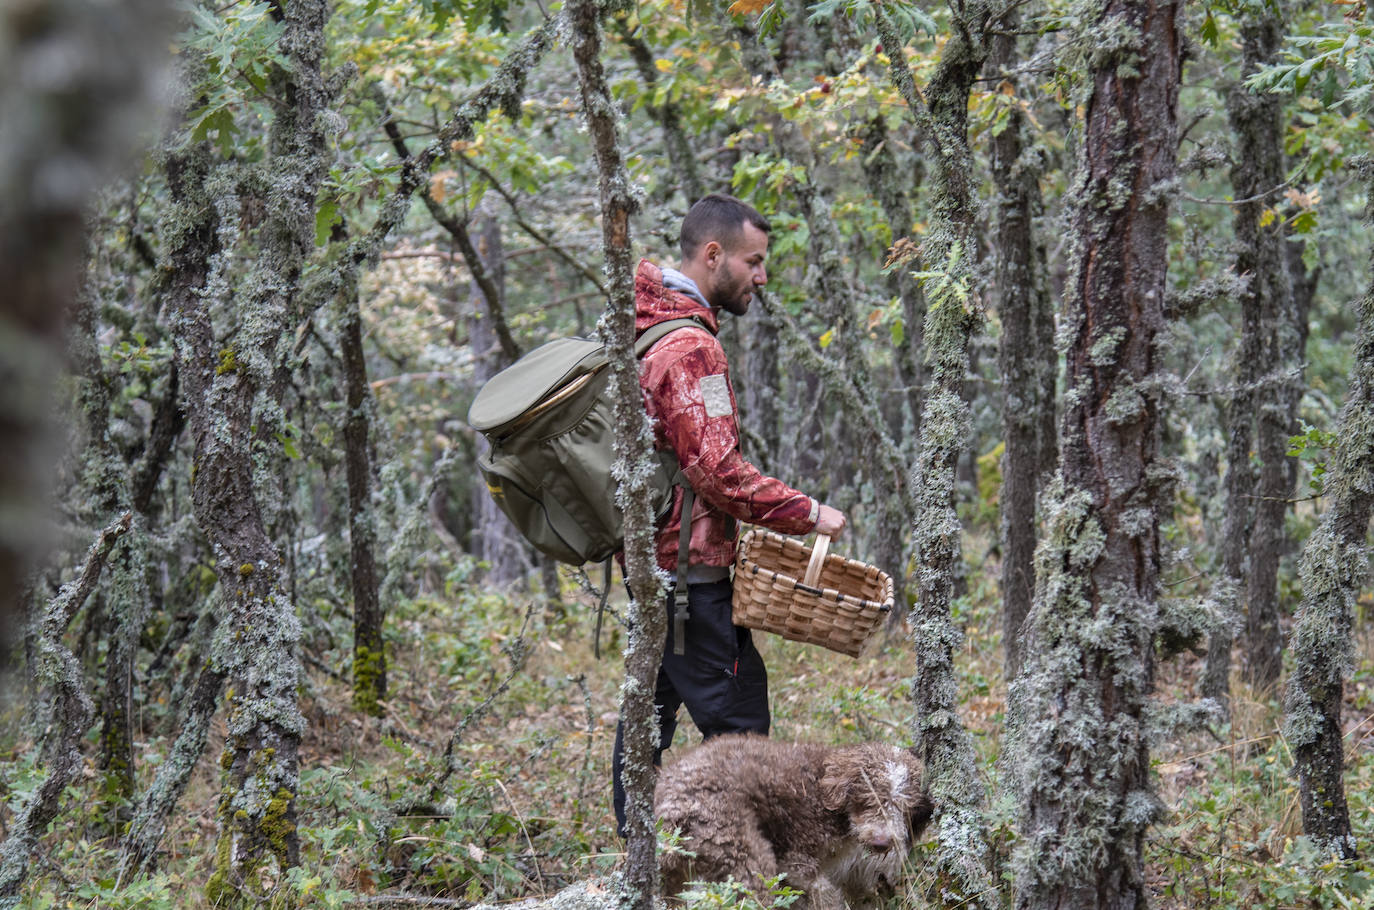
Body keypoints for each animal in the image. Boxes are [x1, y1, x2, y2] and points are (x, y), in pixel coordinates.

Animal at [654, 736, 934, 907]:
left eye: (907, 807)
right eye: (868, 798)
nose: (881, 842)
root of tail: (670, 808)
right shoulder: (796, 858)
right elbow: (824, 894)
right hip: (746, 857)